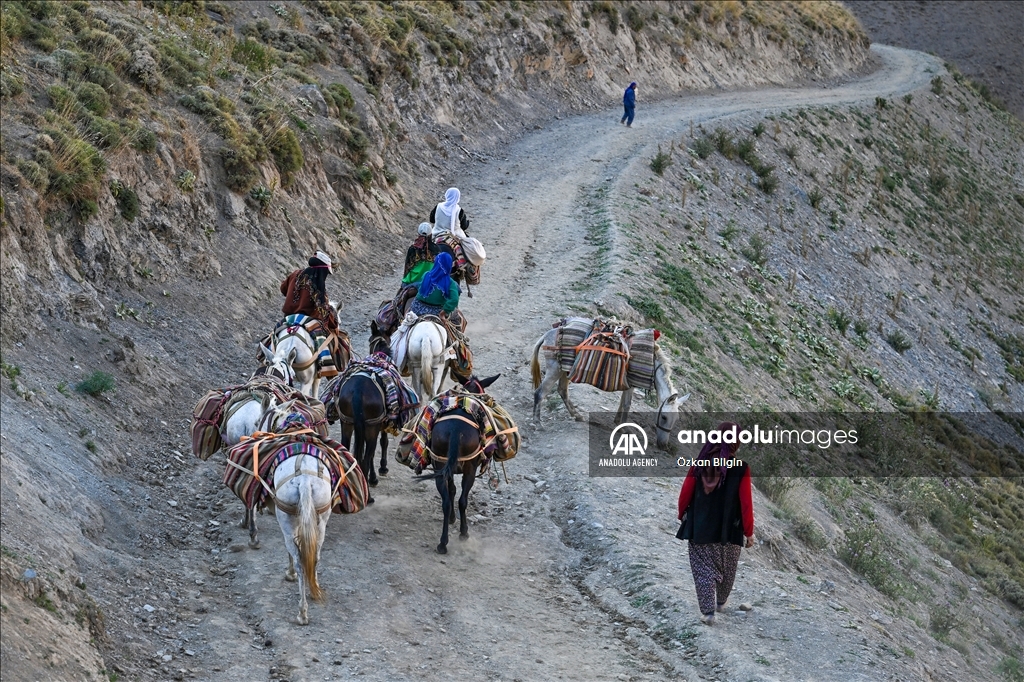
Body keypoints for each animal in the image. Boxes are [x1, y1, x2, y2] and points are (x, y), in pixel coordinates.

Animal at [270, 450, 329, 622]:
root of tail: (304, 480)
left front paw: (290, 574)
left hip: (286, 520)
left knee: (299, 561)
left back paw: (302, 612)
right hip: (321, 522)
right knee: (315, 557)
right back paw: (314, 590)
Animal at [532, 327, 684, 448]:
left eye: (676, 420)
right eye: (664, 417)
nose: (663, 445)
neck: (652, 362)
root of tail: (548, 334)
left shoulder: (627, 384)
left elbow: (622, 403)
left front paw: (618, 424)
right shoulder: (631, 383)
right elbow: (627, 405)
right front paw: (625, 429)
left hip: (565, 369)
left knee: (562, 390)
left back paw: (578, 416)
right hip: (555, 369)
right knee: (540, 393)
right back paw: (538, 424)